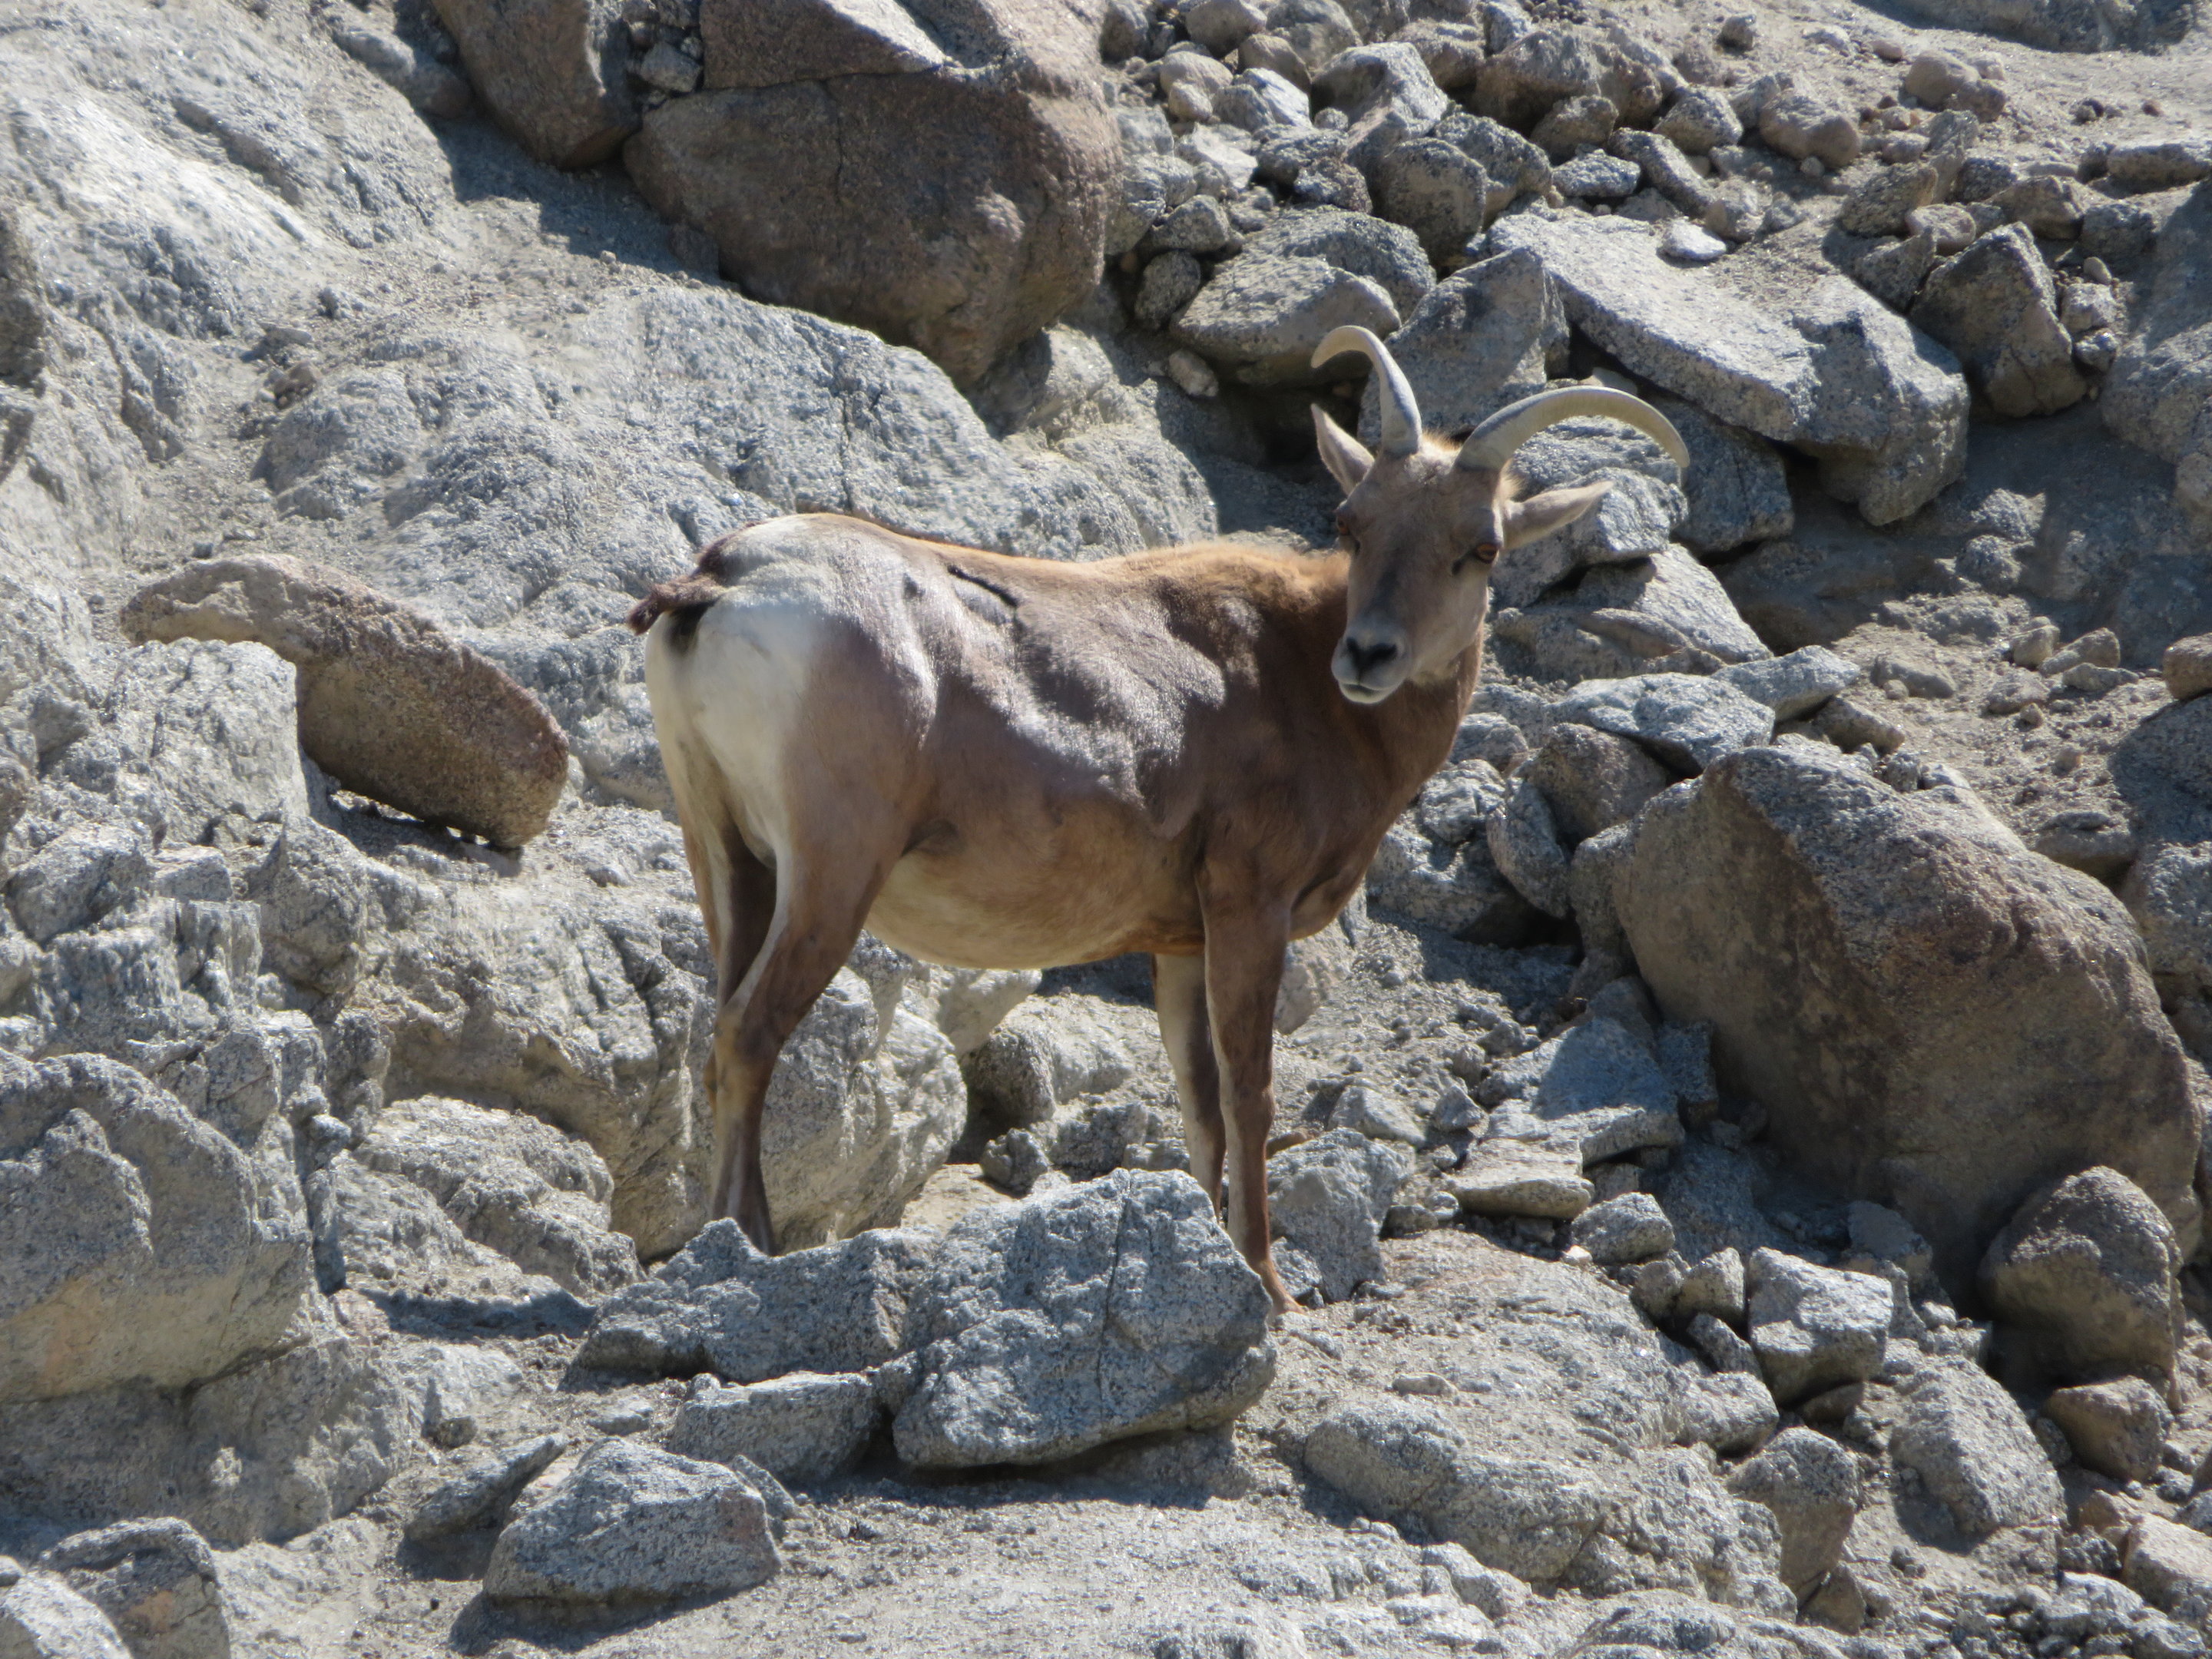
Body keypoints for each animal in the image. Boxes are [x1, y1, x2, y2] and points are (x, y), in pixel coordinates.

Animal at [628, 326, 1686, 1309]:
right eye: (1352, 522)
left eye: (1481, 547)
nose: (1369, 656)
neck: (1300, 683)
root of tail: (725, 582)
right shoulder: (1249, 910)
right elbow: (1253, 1095)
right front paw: (1267, 1284)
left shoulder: (1181, 944)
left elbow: (1200, 1104)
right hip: (832, 875)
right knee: (750, 1030)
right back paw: (746, 1250)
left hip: (728, 856)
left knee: (725, 1024)